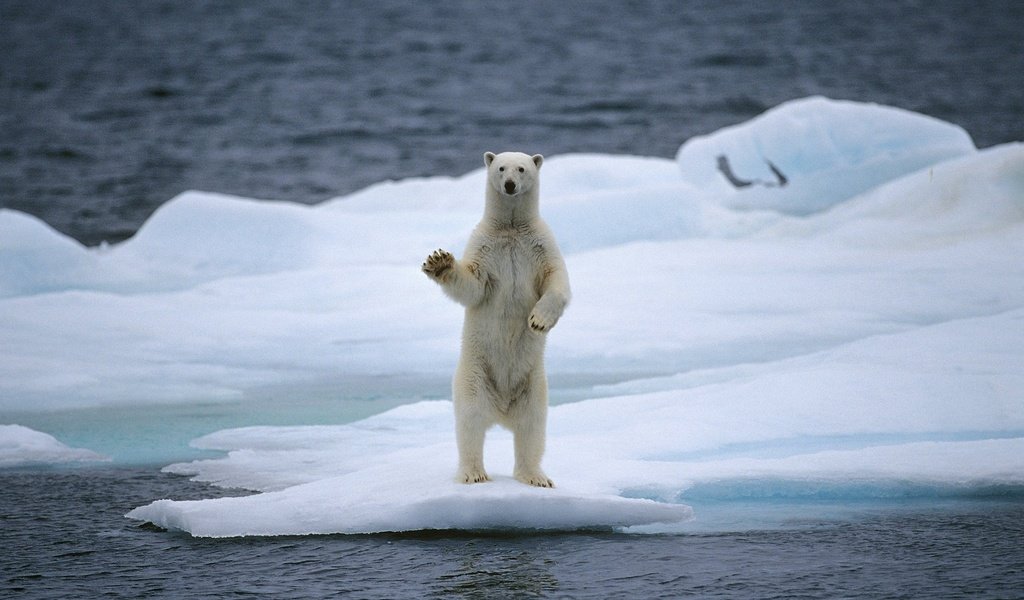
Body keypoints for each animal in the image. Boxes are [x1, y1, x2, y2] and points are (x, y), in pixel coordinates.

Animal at [419, 150, 573, 485]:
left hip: (534, 385)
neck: (512, 229)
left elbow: (557, 282)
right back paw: (474, 473)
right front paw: (439, 262)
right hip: (474, 376)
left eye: (522, 168)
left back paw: (536, 476)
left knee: (532, 428)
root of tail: (502, 411)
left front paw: (538, 321)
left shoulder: (541, 245)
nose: (510, 184)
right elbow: (472, 286)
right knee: (470, 423)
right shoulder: (485, 248)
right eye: (501, 168)